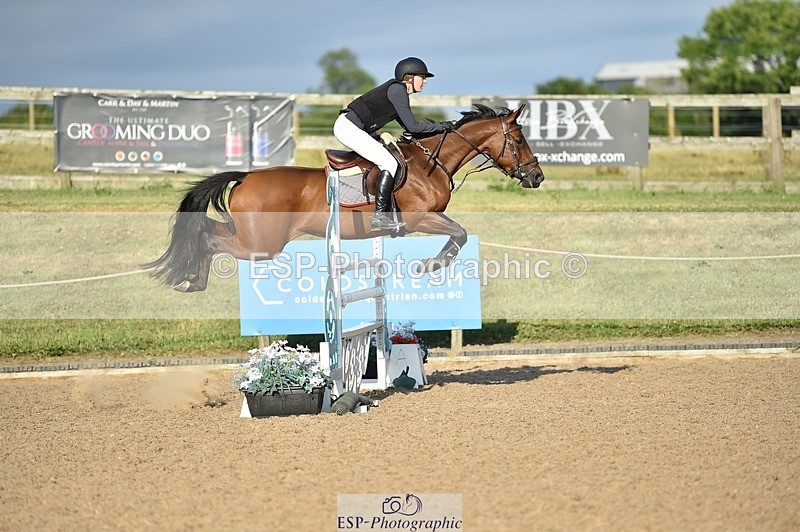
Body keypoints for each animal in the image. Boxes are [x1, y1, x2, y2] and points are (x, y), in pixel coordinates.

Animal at [145, 104, 544, 292]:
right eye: (519, 139)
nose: (537, 177)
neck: (429, 162)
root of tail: (246, 176)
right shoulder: (419, 218)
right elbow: (458, 234)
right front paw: (431, 265)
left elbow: (459, 233)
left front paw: (431, 265)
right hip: (262, 243)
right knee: (209, 238)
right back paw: (192, 280)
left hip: (254, 237)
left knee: (206, 231)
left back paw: (192, 279)